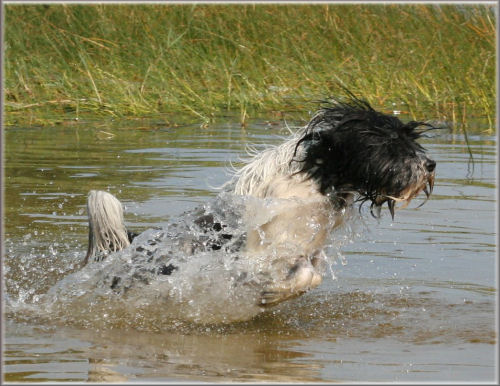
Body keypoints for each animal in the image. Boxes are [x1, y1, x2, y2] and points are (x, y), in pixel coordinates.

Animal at [82, 95, 434, 308]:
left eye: (410, 138)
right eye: (390, 143)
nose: (430, 166)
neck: (315, 182)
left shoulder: (306, 253)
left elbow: (311, 275)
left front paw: (274, 295)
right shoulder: (258, 254)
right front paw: (271, 294)